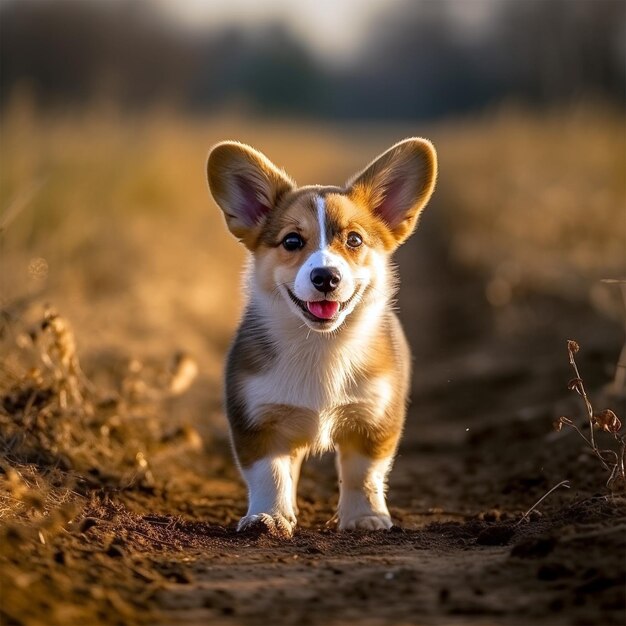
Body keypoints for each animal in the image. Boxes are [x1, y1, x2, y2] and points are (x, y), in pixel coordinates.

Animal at [205, 139, 434, 532]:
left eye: (354, 239)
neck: (321, 345)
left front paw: (365, 518)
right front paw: (268, 517)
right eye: (292, 241)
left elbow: (363, 474)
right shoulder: (256, 419)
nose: (326, 277)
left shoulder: (375, 418)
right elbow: (270, 475)